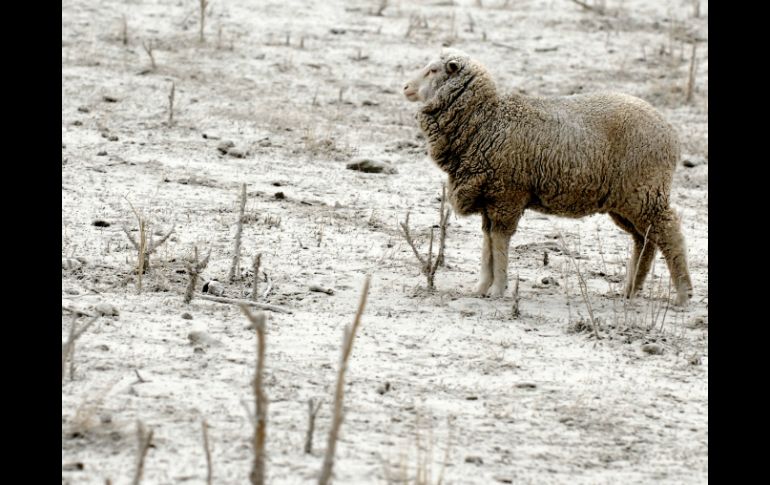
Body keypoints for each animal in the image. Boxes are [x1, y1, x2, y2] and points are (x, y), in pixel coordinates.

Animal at [402, 50, 688, 306]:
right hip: (627, 200)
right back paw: (630, 290)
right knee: (645, 239)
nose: (405, 87)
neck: (487, 120)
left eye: (433, 70)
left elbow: (499, 242)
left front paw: (497, 290)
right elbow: (488, 243)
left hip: (645, 191)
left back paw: (683, 295)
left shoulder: (507, 195)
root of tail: (671, 134)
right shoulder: (490, 197)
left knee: (669, 233)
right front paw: (482, 287)